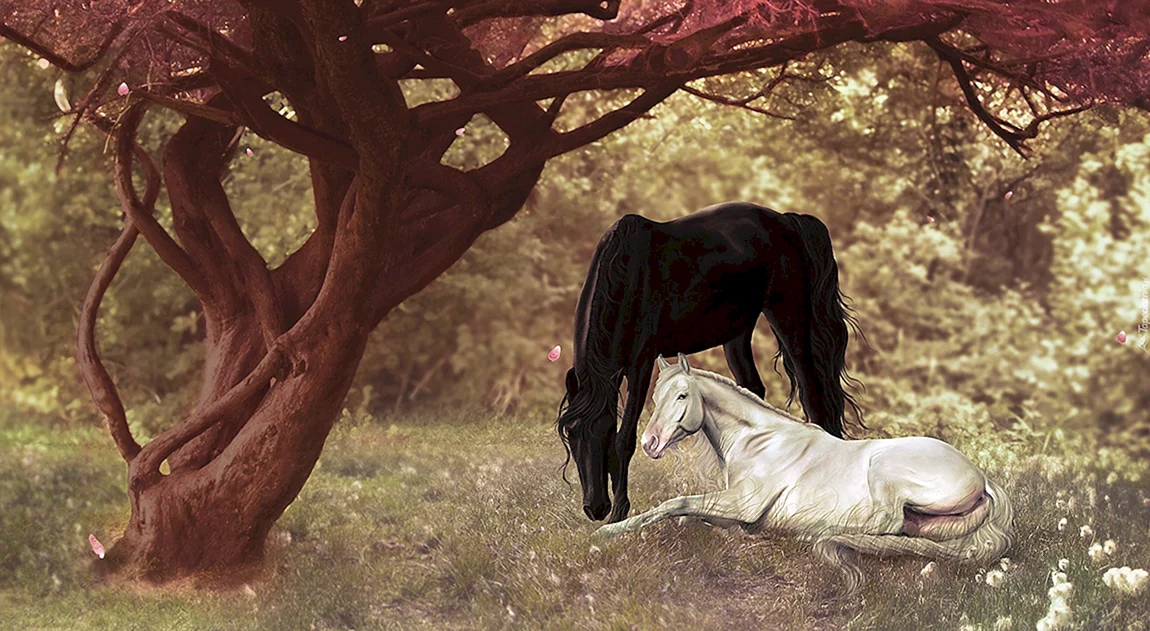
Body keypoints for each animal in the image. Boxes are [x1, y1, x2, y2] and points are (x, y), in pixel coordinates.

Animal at [556, 202, 862, 523]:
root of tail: (788, 221)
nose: (595, 508)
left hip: (788, 319)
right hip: (737, 334)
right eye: (571, 435)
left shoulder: (641, 364)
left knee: (813, 394)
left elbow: (624, 439)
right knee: (753, 389)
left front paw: (618, 514)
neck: (628, 272)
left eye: (602, 434)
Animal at [595, 355, 1015, 595]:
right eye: (655, 398)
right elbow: (688, 515)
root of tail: (983, 478)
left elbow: (675, 503)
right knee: (910, 531)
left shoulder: (743, 504)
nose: (649, 443)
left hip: (885, 470)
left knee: (887, 522)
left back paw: (817, 533)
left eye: (682, 396)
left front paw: (608, 532)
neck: (758, 440)